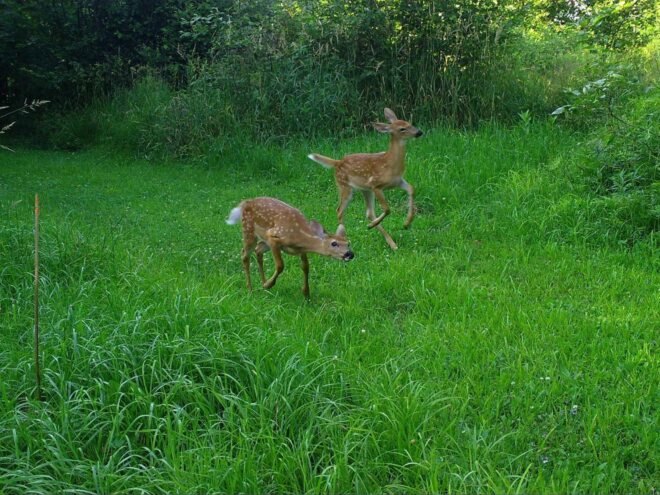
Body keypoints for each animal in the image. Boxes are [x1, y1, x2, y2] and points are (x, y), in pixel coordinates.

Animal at [307, 107, 423, 251]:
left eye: (409, 123)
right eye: (402, 128)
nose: (419, 132)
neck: (390, 165)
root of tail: (337, 162)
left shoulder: (397, 181)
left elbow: (412, 189)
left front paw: (407, 223)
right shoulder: (375, 184)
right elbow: (387, 209)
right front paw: (372, 225)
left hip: (365, 189)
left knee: (368, 212)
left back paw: (391, 243)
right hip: (345, 185)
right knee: (340, 210)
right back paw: (345, 238)